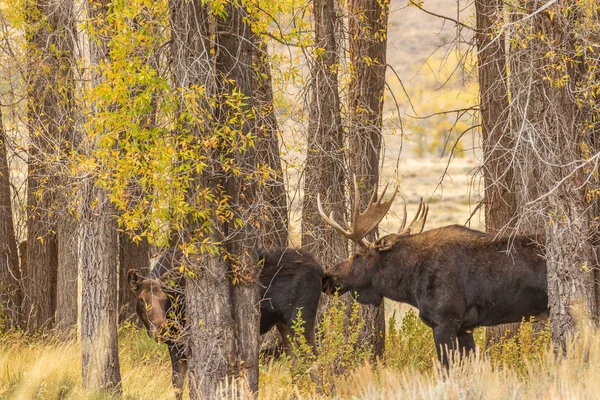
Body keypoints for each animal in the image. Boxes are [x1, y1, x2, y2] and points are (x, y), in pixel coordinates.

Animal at [126, 247, 324, 396]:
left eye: (163, 298)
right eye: (142, 299)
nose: (161, 329)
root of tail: (321, 269)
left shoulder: (181, 343)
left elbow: (184, 384)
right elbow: (178, 385)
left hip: (302, 321)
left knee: (316, 364)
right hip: (284, 325)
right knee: (296, 367)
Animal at [318, 178, 548, 366]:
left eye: (357, 255)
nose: (327, 277)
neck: (409, 286)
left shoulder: (444, 321)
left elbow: (447, 368)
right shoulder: (465, 327)